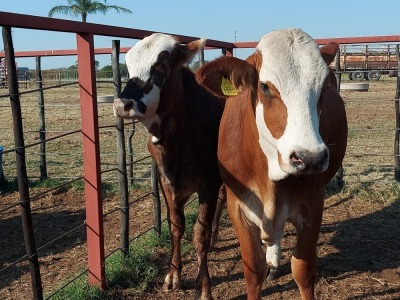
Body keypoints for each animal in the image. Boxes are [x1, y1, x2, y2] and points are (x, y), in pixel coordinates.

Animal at [113, 33, 225, 300]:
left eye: (162, 65)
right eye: (128, 66)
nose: (122, 105)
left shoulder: (209, 182)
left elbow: (200, 234)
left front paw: (203, 287)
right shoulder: (166, 181)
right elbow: (176, 226)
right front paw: (173, 274)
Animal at [197, 27, 346, 298]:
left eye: (323, 87)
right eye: (265, 86)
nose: (309, 158)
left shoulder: (312, 204)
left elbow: (303, 270)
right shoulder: (238, 207)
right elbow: (253, 270)